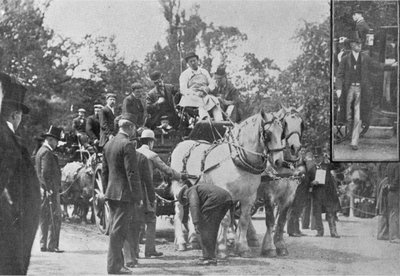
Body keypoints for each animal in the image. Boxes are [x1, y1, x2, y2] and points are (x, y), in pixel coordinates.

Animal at [170, 110, 284, 256]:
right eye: (267, 134)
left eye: (282, 133)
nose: (279, 161)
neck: (237, 159)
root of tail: (181, 144)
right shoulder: (226, 194)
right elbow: (225, 220)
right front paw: (222, 248)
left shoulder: (249, 197)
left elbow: (244, 221)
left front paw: (242, 248)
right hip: (179, 185)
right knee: (179, 213)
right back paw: (181, 242)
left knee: (190, 210)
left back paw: (195, 240)